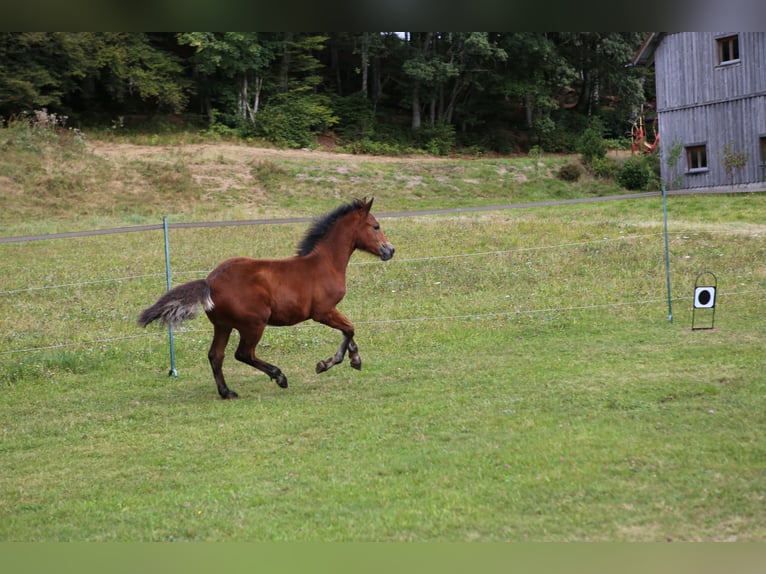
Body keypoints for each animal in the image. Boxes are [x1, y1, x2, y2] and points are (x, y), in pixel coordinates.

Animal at [139, 199, 400, 400]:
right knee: (243, 353)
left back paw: (227, 392)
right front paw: (330, 364)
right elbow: (350, 328)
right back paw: (279, 376)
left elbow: (349, 330)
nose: (390, 250)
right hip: (254, 323)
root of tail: (209, 282)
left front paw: (354, 360)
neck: (325, 263)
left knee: (216, 355)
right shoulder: (323, 312)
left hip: (223, 325)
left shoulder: (328, 312)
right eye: (375, 226)